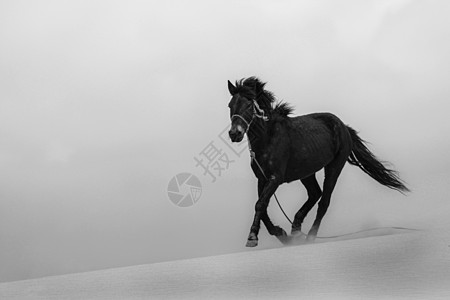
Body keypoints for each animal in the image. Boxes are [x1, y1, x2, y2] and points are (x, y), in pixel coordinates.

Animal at [227, 76, 410, 247]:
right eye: (230, 105)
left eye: (248, 105)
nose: (235, 133)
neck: (269, 137)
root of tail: (344, 127)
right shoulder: (262, 178)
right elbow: (262, 206)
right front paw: (281, 234)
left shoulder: (275, 178)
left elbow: (260, 204)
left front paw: (252, 237)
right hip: (306, 172)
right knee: (315, 193)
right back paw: (295, 230)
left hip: (334, 167)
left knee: (324, 202)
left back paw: (309, 237)